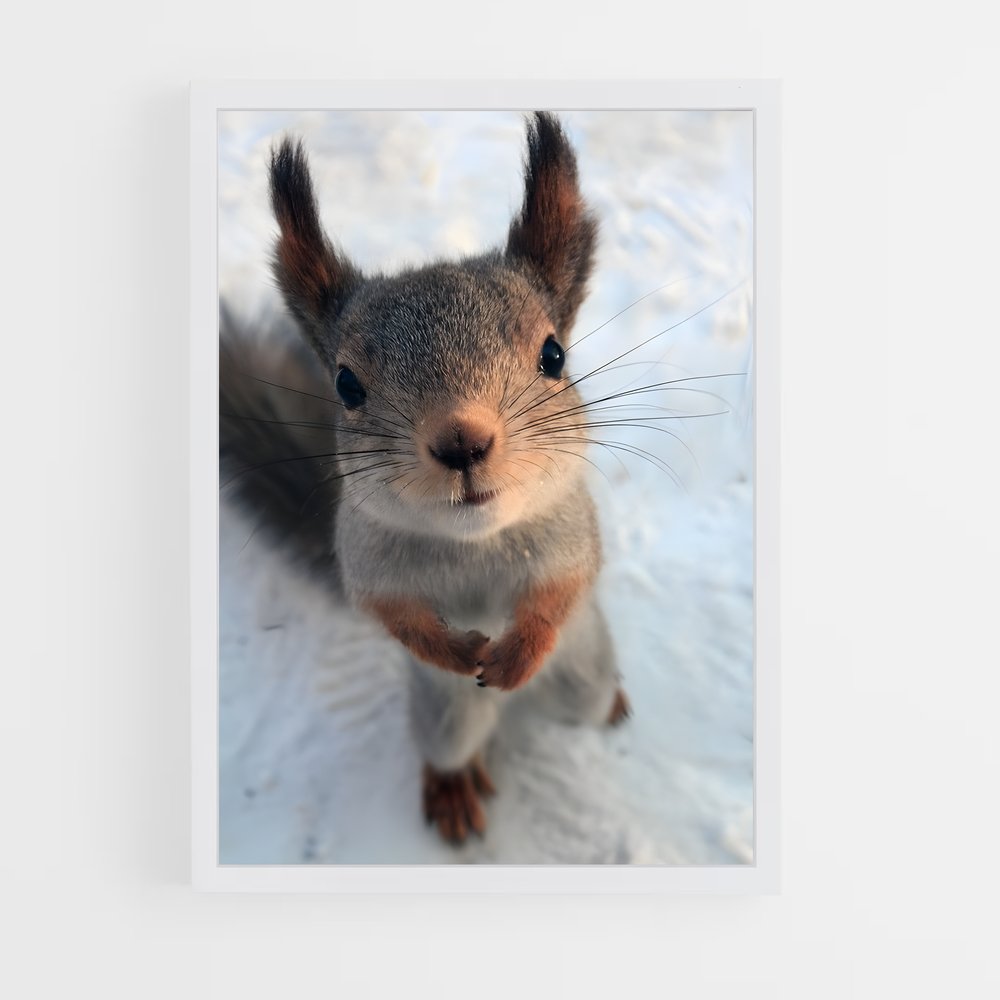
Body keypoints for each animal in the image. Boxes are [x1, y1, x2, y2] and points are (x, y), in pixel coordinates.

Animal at [220, 112, 631, 845]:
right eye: (346, 385)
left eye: (554, 355)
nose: (461, 441)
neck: (474, 541)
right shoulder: (364, 558)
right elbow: (391, 614)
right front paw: (457, 653)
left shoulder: (571, 531)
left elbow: (562, 589)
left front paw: (518, 651)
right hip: (445, 719)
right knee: (450, 746)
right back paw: (453, 788)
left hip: (585, 672)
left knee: (585, 697)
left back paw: (607, 701)